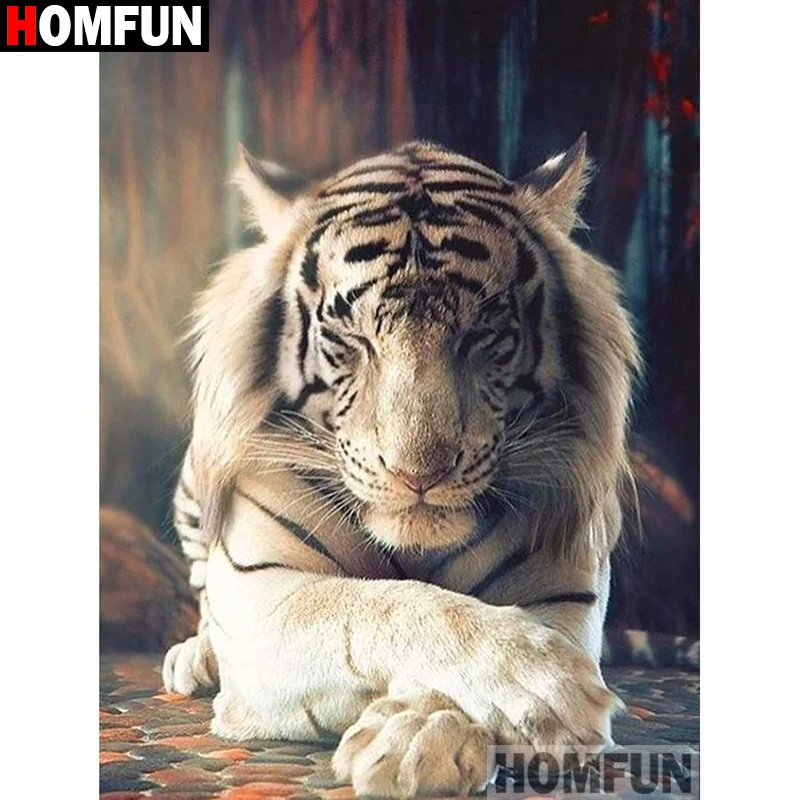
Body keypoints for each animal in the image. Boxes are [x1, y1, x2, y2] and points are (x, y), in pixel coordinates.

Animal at [163, 135, 643, 798]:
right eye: (351, 337)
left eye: (483, 333)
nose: (418, 475)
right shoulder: (265, 596)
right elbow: (383, 604)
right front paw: (543, 686)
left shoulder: (563, 593)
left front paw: (420, 737)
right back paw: (195, 656)